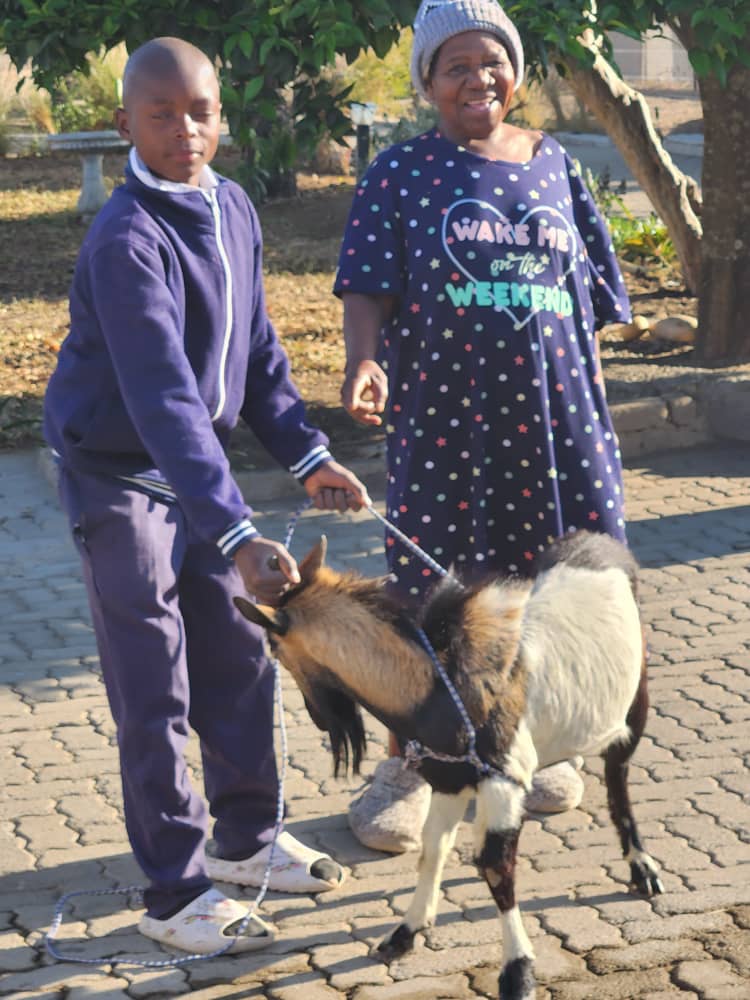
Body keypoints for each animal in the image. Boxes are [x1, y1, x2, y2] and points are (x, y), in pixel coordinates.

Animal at [235, 529, 663, 1000]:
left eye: (273, 647)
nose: (317, 717)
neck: (437, 686)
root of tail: (600, 542)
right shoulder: (448, 779)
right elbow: (432, 849)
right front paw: (405, 933)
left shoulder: (501, 781)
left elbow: (495, 867)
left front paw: (518, 972)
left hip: (633, 705)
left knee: (617, 777)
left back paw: (642, 867)